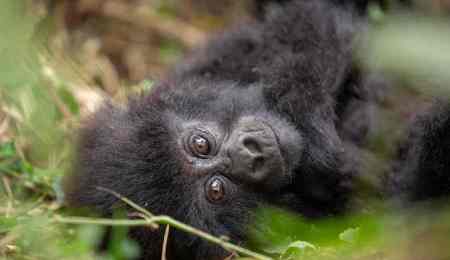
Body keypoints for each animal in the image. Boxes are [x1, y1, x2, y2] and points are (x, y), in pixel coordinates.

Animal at [65, 0, 388, 260]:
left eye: (200, 144)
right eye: (216, 190)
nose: (254, 155)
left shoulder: (212, 61)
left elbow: (313, 23)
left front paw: (311, 130)